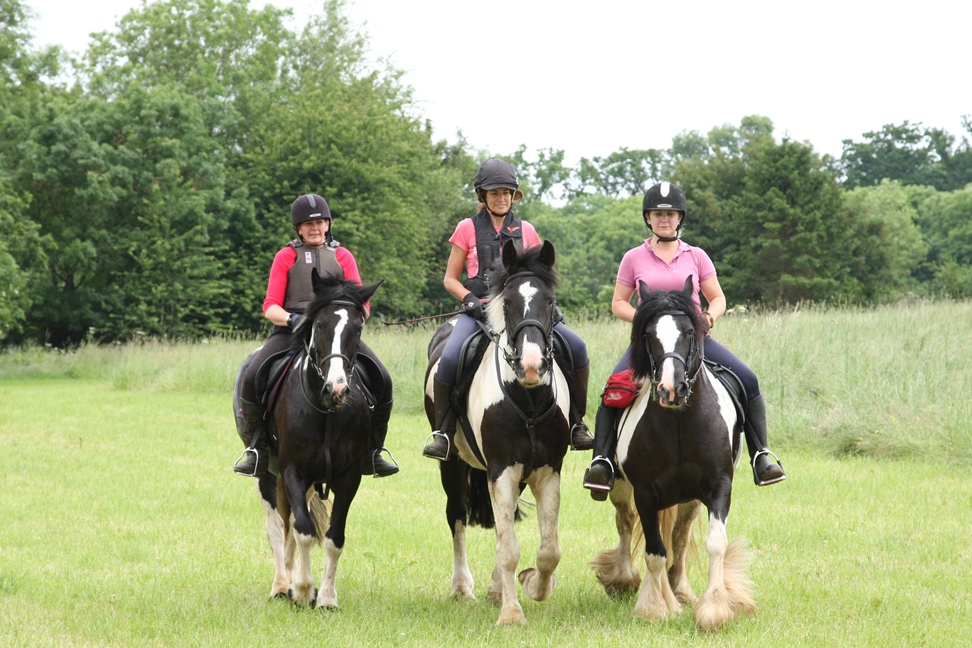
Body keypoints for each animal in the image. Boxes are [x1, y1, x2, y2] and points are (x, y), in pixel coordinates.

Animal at [232, 271, 383, 608]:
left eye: (358, 327)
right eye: (320, 325)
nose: (336, 388)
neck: (325, 411)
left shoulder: (348, 477)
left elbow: (333, 537)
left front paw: (325, 597)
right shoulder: (292, 472)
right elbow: (303, 531)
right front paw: (301, 590)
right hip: (267, 474)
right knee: (277, 528)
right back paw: (281, 585)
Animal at [424, 240, 571, 625]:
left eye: (549, 301)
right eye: (507, 303)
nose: (531, 366)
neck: (528, 399)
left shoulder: (547, 471)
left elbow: (549, 549)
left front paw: (534, 585)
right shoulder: (500, 470)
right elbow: (508, 548)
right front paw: (511, 614)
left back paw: (494, 589)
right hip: (452, 464)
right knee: (457, 516)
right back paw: (463, 587)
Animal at [590, 277, 756, 630]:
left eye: (690, 332)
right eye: (650, 336)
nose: (670, 389)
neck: (679, 422)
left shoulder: (719, 487)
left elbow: (714, 544)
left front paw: (714, 609)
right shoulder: (645, 493)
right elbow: (654, 550)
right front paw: (656, 608)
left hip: (689, 499)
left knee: (679, 538)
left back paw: (679, 589)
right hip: (622, 488)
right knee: (625, 522)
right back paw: (623, 579)